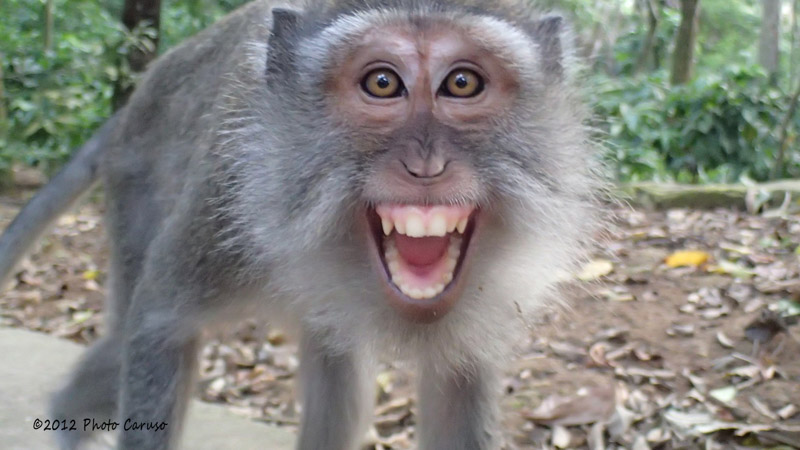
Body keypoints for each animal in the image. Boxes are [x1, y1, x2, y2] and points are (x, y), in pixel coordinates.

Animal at [0, 0, 601, 448]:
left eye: (461, 83)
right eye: (383, 83)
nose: (426, 165)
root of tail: (134, 104)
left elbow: (458, 393)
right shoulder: (220, 210)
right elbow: (156, 324)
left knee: (340, 381)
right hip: (136, 187)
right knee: (120, 342)